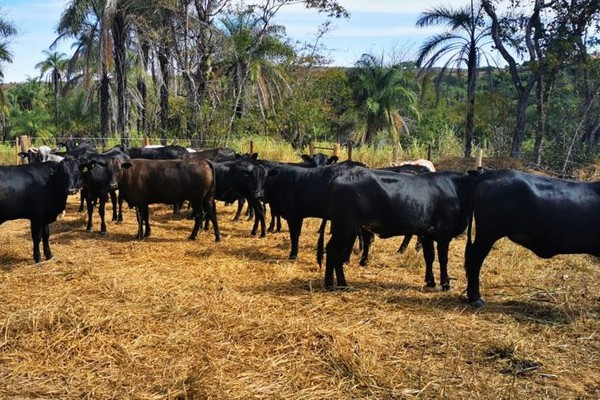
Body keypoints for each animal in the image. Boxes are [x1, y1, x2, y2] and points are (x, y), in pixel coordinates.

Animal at [326, 166, 480, 290]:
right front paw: (445, 284)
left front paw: (430, 282)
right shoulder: (443, 234)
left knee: (330, 249)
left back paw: (330, 284)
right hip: (346, 227)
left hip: (343, 228)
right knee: (334, 251)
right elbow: (443, 259)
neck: (457, 189)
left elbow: (429, 257)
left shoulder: (426, 233)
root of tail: (340, 177)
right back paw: (341, 284)